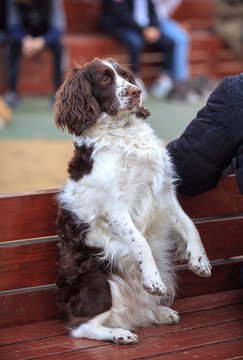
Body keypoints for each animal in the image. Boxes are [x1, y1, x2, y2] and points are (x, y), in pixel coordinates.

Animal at [53, 57, 211, 344]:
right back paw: (119, 334)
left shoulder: (164, 192)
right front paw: (153, 280)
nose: (137, 92)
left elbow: (189, 225)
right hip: (99, 281)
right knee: (81, 328)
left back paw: (159, 313)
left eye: (126, 76)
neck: (123, 134)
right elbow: (140, 243)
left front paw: (199, 260)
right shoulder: (113, 207)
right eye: (105, 79)